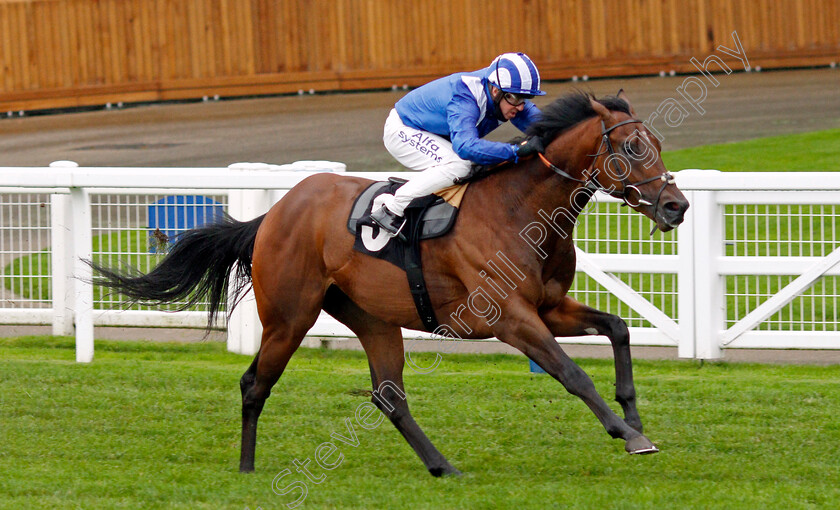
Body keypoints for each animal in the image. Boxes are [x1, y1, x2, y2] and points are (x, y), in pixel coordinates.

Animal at [95, 89, 692, 476]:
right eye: (632, 148)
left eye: (659, 144)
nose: (676, 206)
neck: (520, 208)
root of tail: (275, 212)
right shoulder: (508, 318)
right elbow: (574, 375)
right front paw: (630, 435)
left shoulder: (547, 307)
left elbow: (617, 328)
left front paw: (633, 413)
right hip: (289, 317)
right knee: (254, 384)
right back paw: (245, 469)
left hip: (372, 320)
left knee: (388, 397)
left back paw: (443, 467)